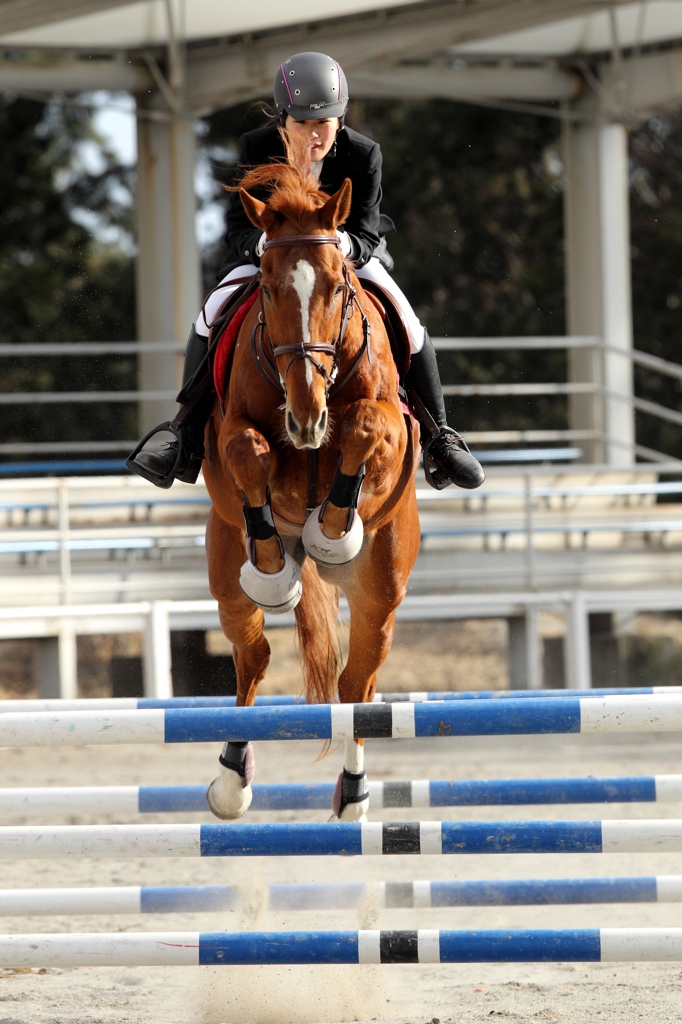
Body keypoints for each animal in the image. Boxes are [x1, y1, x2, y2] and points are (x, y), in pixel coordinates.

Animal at [199, 148, 417, 823]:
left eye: (338, 286)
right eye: (268, 288)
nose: (305, 416)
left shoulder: (389, 428)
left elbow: (366, 426)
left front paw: (332, 532)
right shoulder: (232, 435)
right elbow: (249, 453)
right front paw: (275, 559)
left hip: (381, 593)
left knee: (357, 684)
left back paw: (353, 793)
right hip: (225, 570)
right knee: (254, 660)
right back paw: (231, 781)